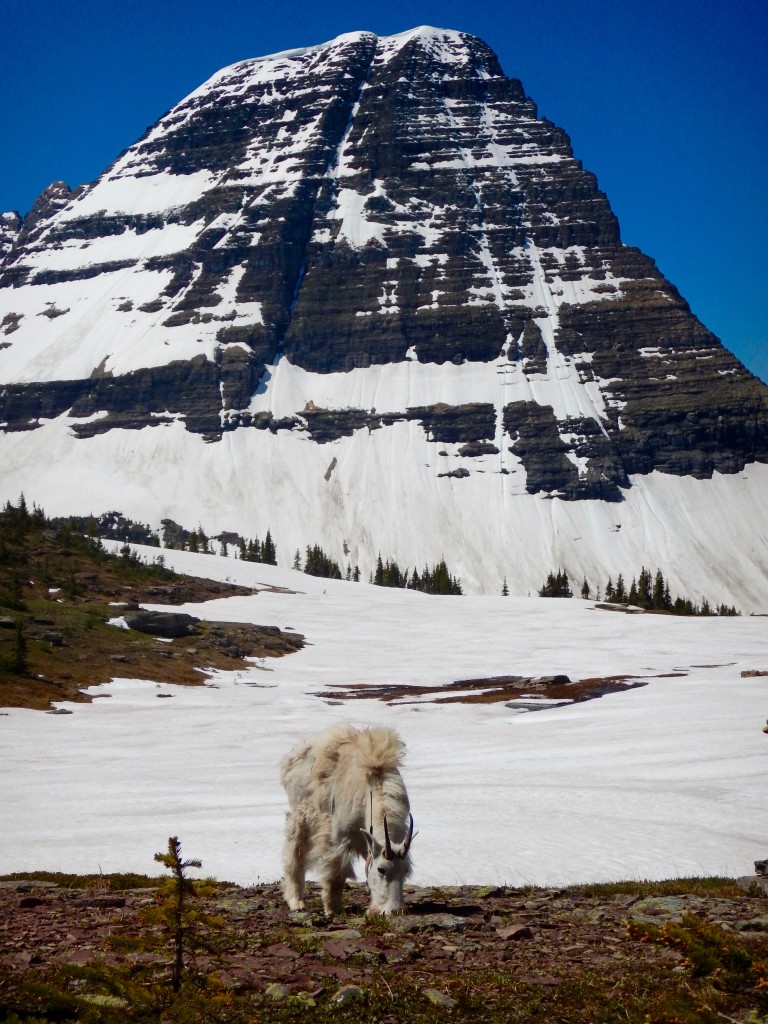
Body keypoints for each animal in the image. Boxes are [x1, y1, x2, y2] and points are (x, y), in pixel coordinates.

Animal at [280, 724, 415, 917]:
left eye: (405, 870)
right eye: (381, 869)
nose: (395, 910)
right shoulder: (338, 838)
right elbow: (336, 875)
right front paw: (333, 909)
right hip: (301, 814)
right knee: (294, 854)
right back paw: (296, 902)